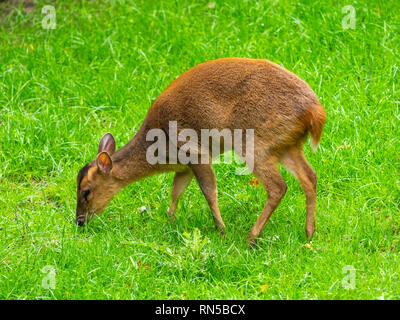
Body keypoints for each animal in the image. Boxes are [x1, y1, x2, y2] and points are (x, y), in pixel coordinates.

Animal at [76, 57, 324, 246]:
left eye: (86, 191)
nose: (79, 221)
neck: (162, 152)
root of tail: (315, 113)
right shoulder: (183, 167)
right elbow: (176, 191)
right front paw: (169, 223)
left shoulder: (195, 152)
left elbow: (208, 191)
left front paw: (221, 231)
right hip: (286, 145)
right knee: (309, 176)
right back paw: (309, 233)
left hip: (253, 142)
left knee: (278, 186)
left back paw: (251, 238)